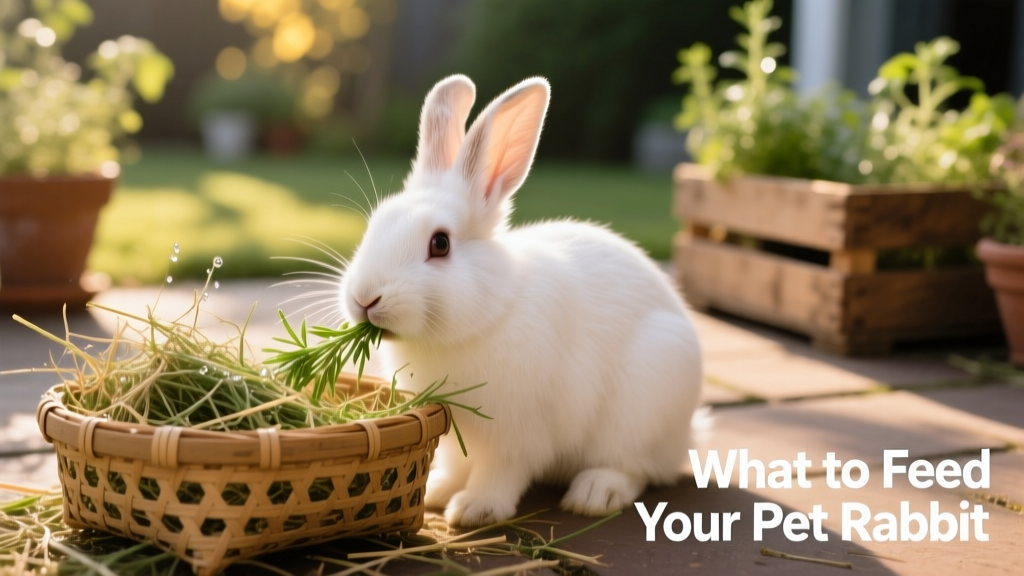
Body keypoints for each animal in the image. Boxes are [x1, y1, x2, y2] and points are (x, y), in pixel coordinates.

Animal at [339, 74, 703, 527]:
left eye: (440, 244)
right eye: (375, 224)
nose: (364, 297)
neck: (491, 313)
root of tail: (687, 434)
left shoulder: (517, 436)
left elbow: (501, 472)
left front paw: (474, 508)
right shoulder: (457, 435)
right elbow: (455, 464)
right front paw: (439, 492)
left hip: (641, 409)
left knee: (635, 467)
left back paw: (594, 494)